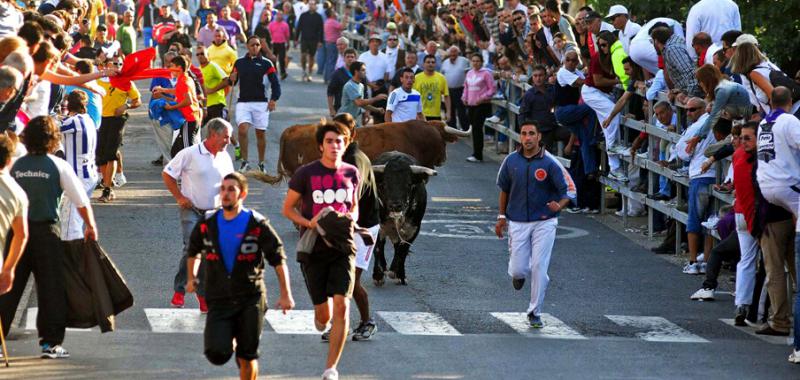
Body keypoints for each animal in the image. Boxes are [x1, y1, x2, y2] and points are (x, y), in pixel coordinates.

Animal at [370, 151, 434, 284]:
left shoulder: (413, 229)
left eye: (408, 184)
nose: (396, 205)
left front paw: (396, 272)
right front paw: (378, 275)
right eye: (384, 184)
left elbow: (403, 250)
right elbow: (378, 248)